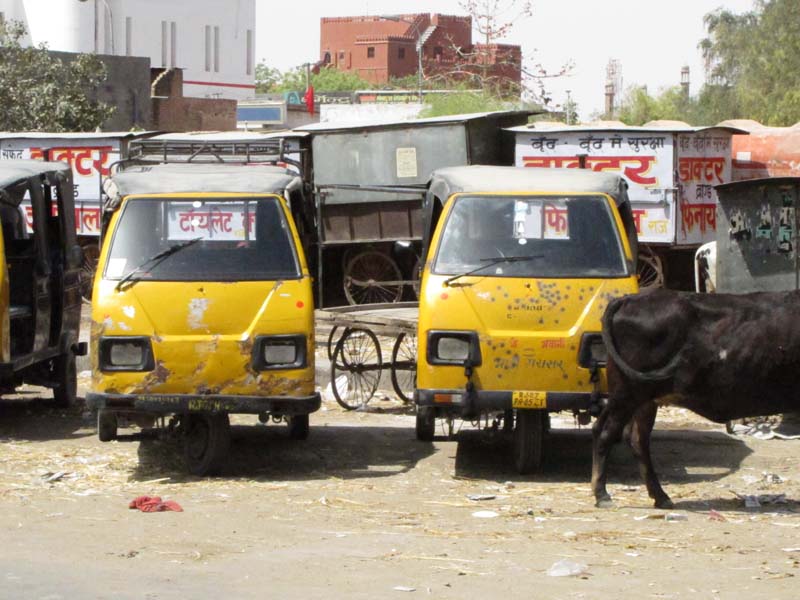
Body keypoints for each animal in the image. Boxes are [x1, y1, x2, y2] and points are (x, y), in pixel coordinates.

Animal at [592, 288, 800, 508]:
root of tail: (630, 298)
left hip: (641, 399)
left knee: (635, 440)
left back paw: (660, 496)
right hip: (627, 393)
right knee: (607, 433)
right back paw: (602, 495)